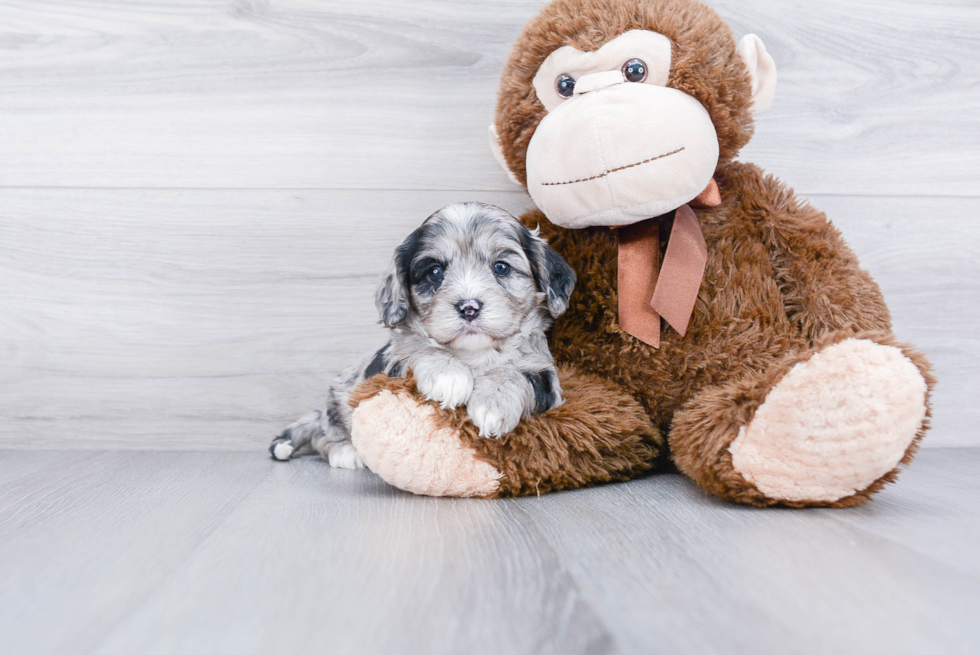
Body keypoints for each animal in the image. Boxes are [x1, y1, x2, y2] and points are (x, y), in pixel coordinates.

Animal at [266, 202, 576, 468]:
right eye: (435, 272)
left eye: (501, 267)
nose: (469, 307)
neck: (474, 354)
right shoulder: (392, 363)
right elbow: (421, 349)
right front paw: (448, 375)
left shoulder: (545, 375)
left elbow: (515, 374)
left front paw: (493, 402)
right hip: (340, 397)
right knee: (323, 432)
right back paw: (344, 451)